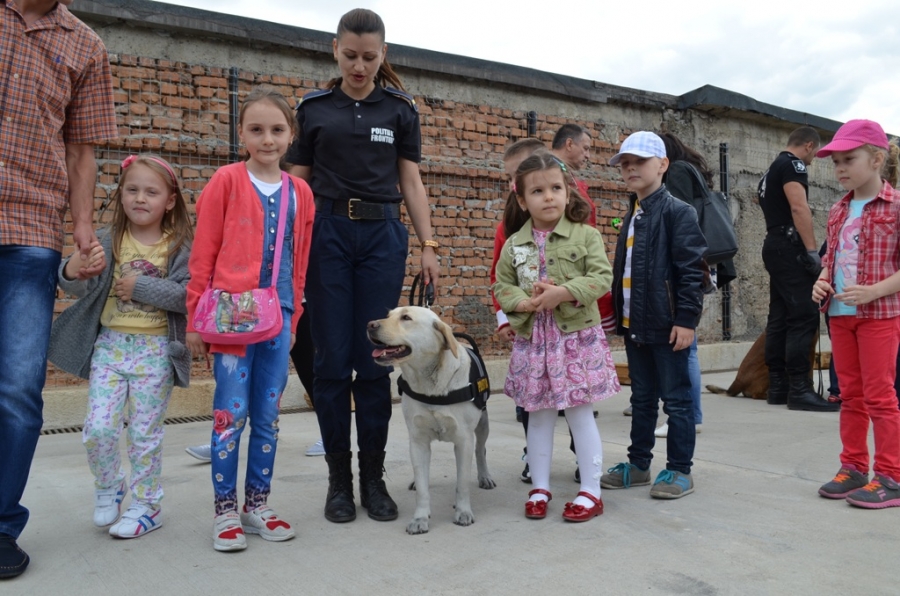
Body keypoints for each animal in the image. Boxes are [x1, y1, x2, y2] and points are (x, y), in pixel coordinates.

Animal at [366, 308, 496, 536]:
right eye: (388, 315)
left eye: (406, 318)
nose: (370, 325)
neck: (429, 384)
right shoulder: (418, 441)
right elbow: (423, 486)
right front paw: (420, 518)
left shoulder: (464, 440)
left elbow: (462, 482)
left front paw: (463, 511)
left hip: (483, 425)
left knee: (481, 450)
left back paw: (484, 476)